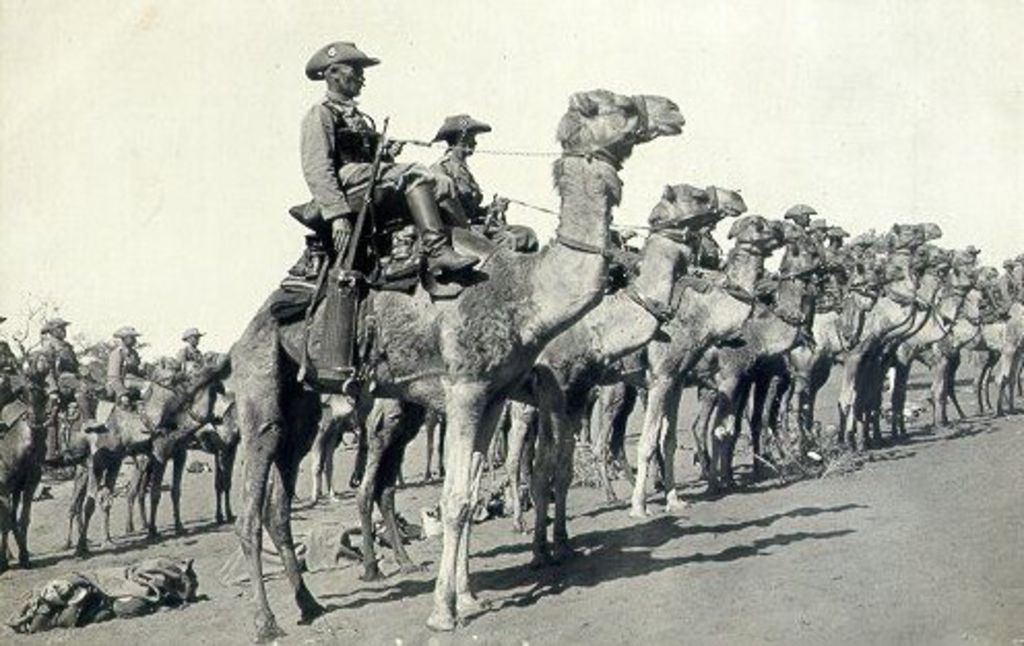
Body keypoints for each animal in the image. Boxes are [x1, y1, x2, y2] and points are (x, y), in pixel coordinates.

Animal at [225, 89, 688, 642]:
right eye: (616, 104)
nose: (671, 109)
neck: (523, 291)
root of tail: (245, 332)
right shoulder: (469, 388)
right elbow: (458, 498)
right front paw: (444, 611)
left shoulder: (494, 394)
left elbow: (470, 493)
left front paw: (466, 596)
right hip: (261, 388)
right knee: (252, 507)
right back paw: (267, 620)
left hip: (304, 404)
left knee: (280, 502)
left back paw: (309, 604)